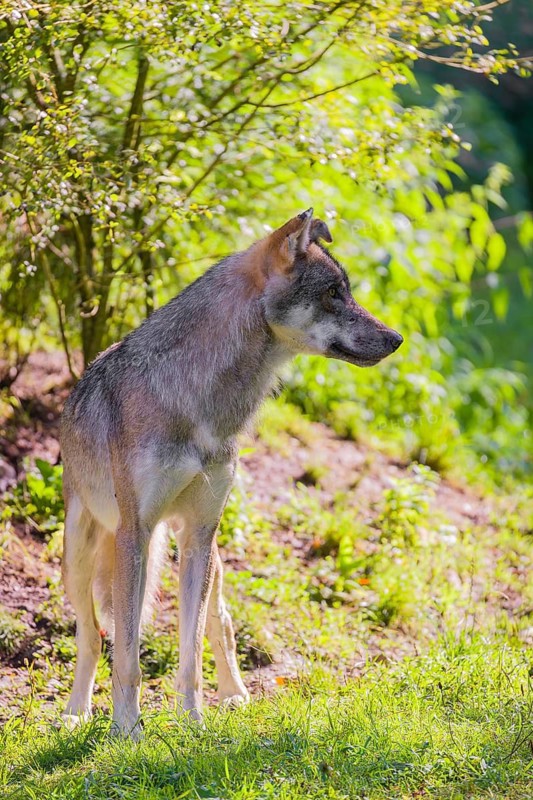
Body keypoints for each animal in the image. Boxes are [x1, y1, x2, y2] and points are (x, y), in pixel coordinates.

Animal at [60, 209, 402, 737]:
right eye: (333, 293)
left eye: (346, 290)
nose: (396, 339)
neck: (199, 399)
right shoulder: (135, 532)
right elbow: (128, 657)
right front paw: (128, 732)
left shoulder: (199, 533)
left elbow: (191, 650)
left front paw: (193, 723)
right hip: (81, 552)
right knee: (93, 635)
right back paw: (77, 713)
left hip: (204, 551)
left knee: (218, 622)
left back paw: (236, 693)